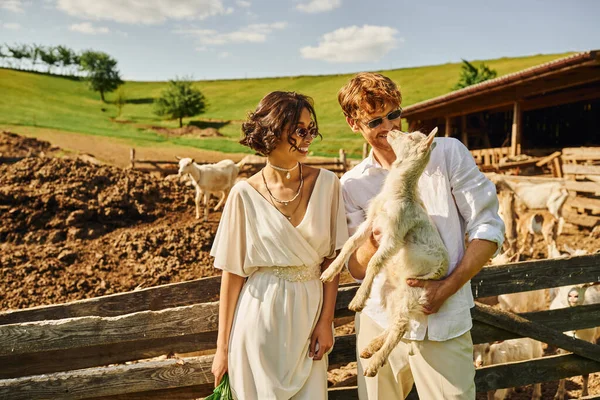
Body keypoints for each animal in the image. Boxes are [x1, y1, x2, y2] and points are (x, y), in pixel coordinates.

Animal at [322, 126, 448, 376]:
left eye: (412, 137)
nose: (393, 130)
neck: (399, 193)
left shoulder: (394, 235)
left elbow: (374, 262)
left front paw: (358, 300)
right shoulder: (372, 222)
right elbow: (350, 243)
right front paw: (329, 272)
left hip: (413, 289)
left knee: (400, 325)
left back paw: (374, 364)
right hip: (393, 292)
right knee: (394, 322)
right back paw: (372, 347)